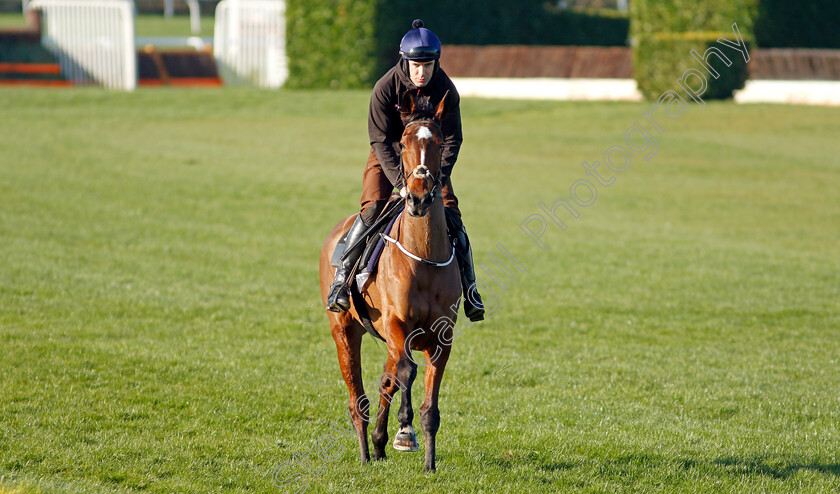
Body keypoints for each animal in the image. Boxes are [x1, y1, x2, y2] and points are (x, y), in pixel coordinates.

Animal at [318, 89, 460, 470]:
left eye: (439, 142)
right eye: (404, 141)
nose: (419, 196)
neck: (424, 256)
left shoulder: (442, 337)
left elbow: (428, 404)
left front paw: (429, 462)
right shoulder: (397, 325)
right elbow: (406, 372)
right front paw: (404, 433)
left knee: (385, 380)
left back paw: (378, 444)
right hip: (344, 329)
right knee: (358, 398)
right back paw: (366, 452)